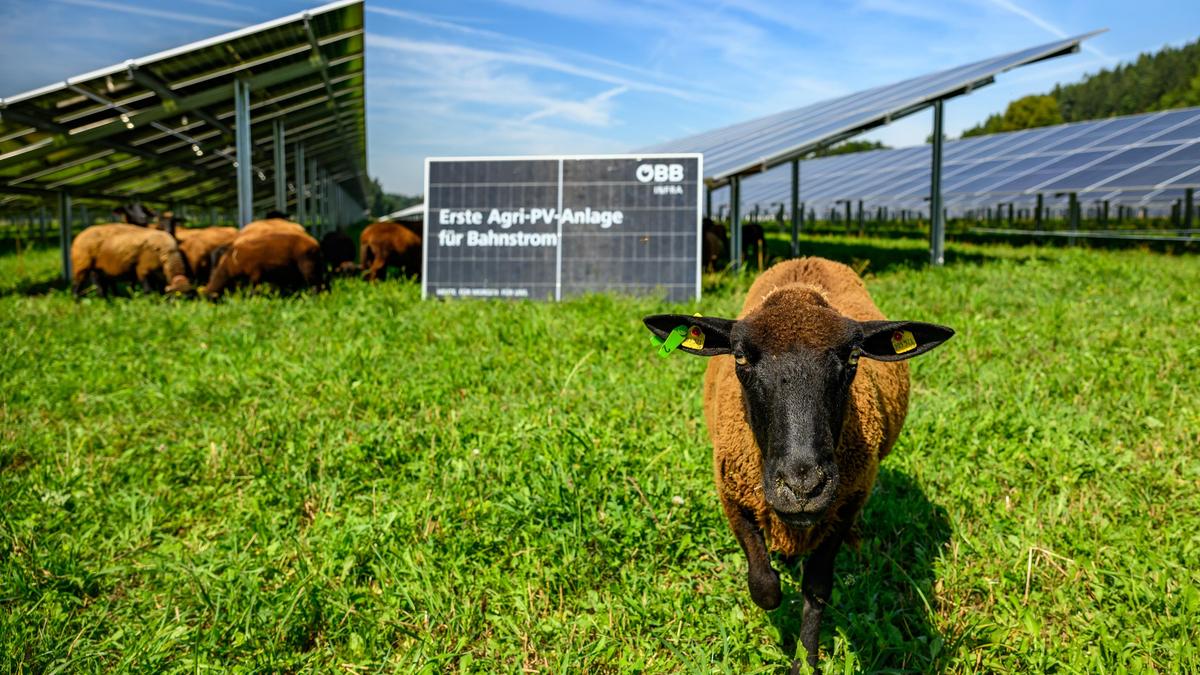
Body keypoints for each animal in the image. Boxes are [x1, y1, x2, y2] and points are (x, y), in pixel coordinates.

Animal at [643, 255, 950, 667]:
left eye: (854, 357)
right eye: (740, 356)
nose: (803, 487)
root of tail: (810, 259)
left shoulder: (844, 503)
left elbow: (817, 587)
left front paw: (804, 659)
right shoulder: (731, 495)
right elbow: (764, 586)